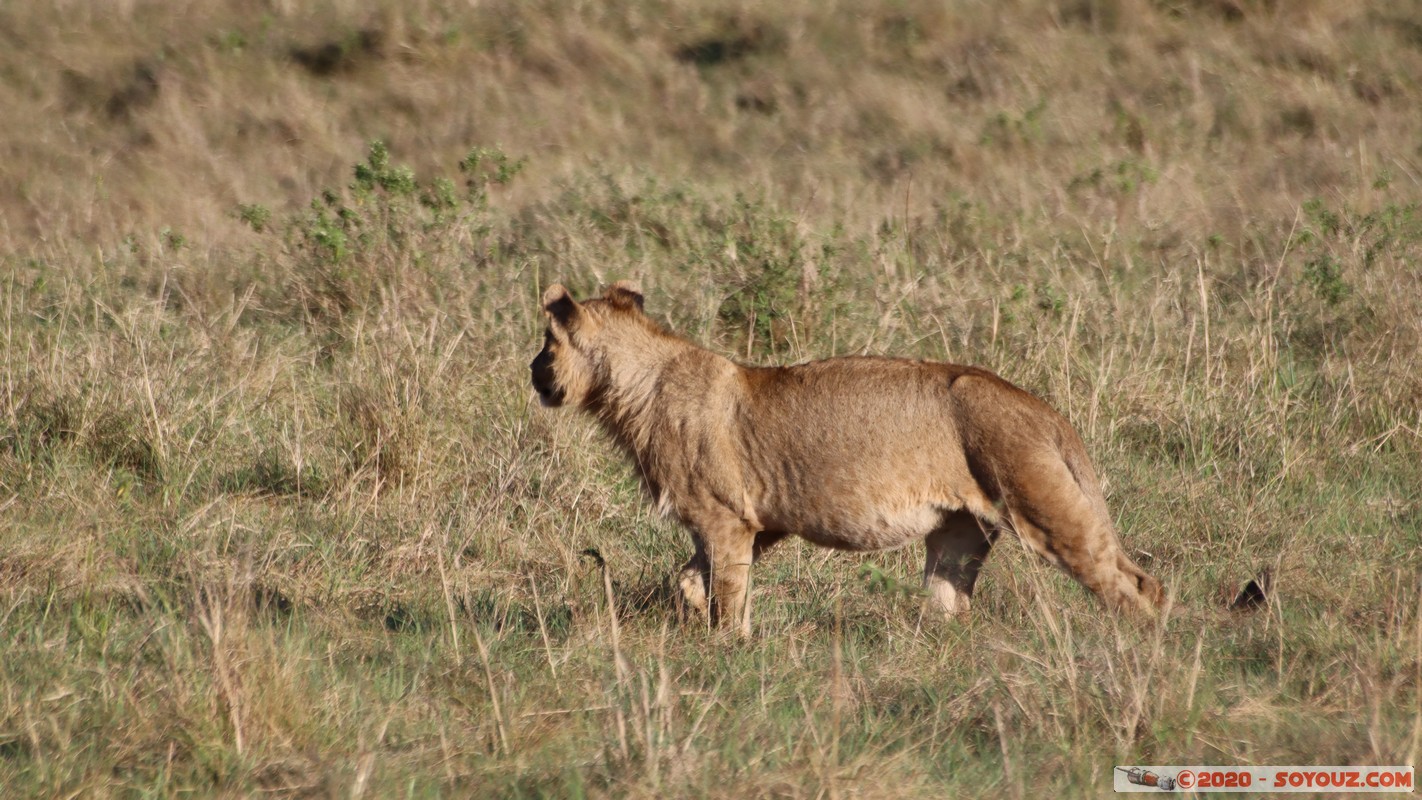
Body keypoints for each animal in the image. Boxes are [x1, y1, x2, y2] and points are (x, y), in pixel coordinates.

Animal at [528, 281, 1160, 639]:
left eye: (548, 342)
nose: (531, 372)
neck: (635, 386)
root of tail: (1043, 409)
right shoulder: (760, 522)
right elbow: (691, 579)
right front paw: (697, 621)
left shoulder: (725, 519)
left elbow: (728, 591)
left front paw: (728, 650)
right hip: (959, 532)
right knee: (950, 599)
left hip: (1043, 507)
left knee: (1133, 584)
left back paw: (1138, 654)